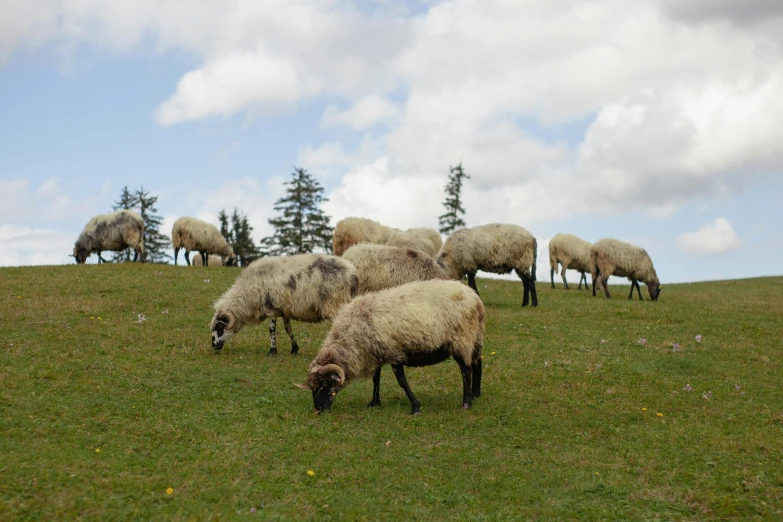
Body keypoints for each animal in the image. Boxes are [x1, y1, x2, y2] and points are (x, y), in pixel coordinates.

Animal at [210, 252, 360, 354]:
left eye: (219, 326)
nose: (213, 345)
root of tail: (352, 273)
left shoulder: (271, 308)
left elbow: (272, 329)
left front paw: (272, 351)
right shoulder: (283, 309)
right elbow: (288, 328)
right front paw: (294, 349)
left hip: (336, 303)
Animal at [298, 278, 484, 412]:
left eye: (324, 384)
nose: (319, 410)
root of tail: (475, 298)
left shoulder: (394, 353)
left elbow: (402, 381)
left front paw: (415, 407)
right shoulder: (376, 352)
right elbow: (376, 378)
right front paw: (374, 403)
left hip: (461, 340)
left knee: (466, 371)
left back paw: (466, 403)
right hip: (475, 338)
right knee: (478, 364)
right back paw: (476, 395)